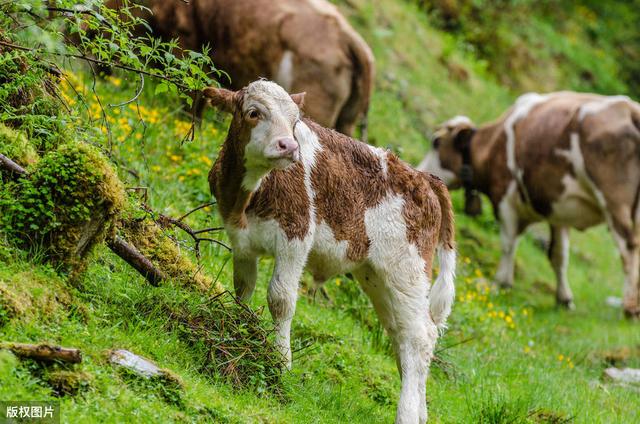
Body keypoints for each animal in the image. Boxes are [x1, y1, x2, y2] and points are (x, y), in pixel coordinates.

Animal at [205, 80, 456, 424]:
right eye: (254, 113)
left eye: (295, 120)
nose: (289, 146)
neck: (248, 197)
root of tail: (423, 177)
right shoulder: (241, 242)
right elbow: (242, 290)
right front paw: (237, 329)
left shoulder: (296, 237)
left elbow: (280, 299)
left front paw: (280, 363)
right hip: (376, 276)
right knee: (403, 336)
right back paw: (419, 413)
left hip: (406, 270)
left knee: (419, 336)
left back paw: (406, 414)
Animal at [418, 92, 640, 318]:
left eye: (436, 142)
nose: (419, 171)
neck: (492, 144)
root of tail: (631, 110)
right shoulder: (558, 211)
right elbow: (558, 255)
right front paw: (564, 299)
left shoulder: (505, 198)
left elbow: (508, 243)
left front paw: (502, 282)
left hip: (613, 202)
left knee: (629, 248)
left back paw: (629, 307)